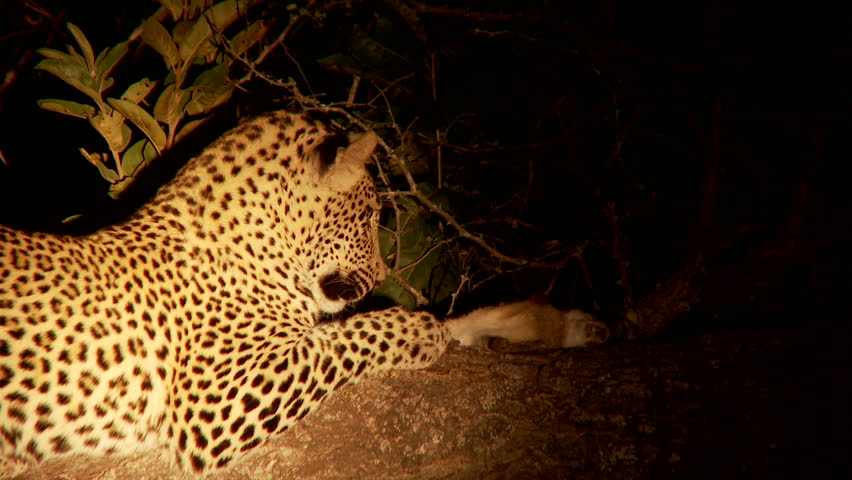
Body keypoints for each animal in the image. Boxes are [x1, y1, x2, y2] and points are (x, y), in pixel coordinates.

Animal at [0, 110, 608, 477]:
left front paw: (552, 326)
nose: (381, 274)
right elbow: (342, 339)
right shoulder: (212, 402)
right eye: (370, 217)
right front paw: (419, 329)